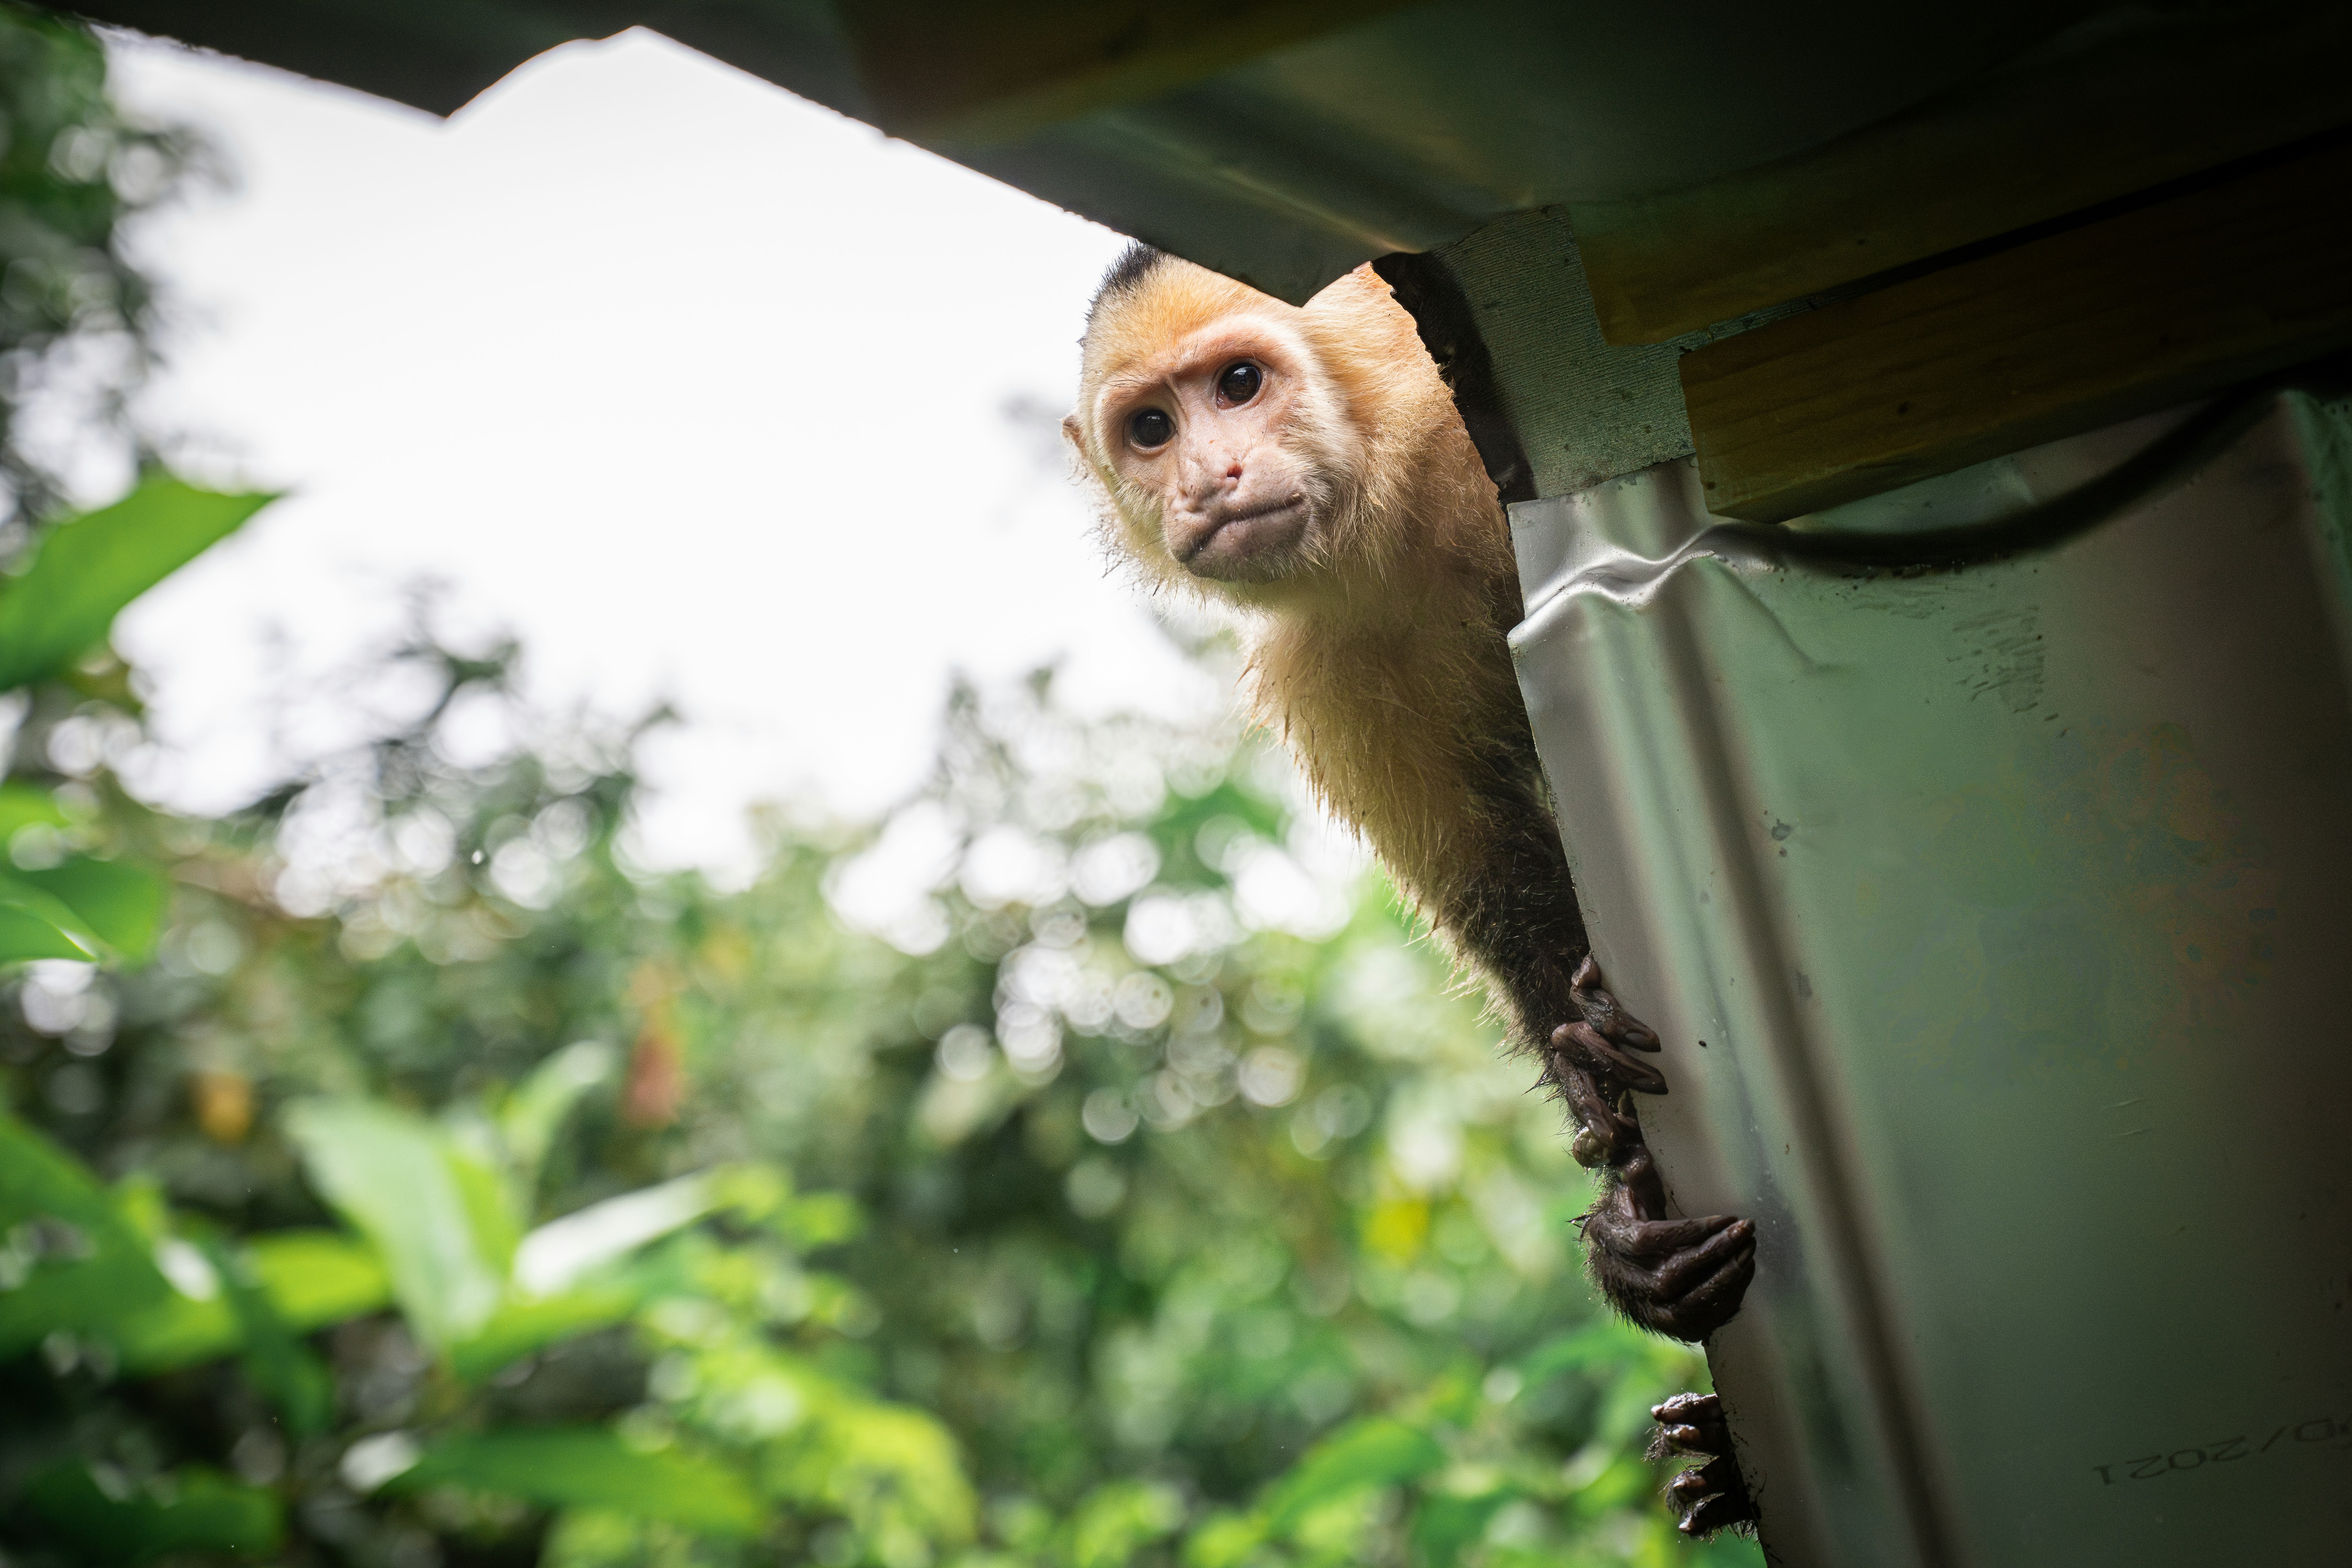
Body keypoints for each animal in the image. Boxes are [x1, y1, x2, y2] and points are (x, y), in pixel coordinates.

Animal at [1063, 246, 1758, 1537]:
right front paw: (1615, 1175)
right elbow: (1500, 885)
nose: (1210, 476)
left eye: (1240, 383)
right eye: (1150, 428)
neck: (1406, 499)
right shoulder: (1334, 659)